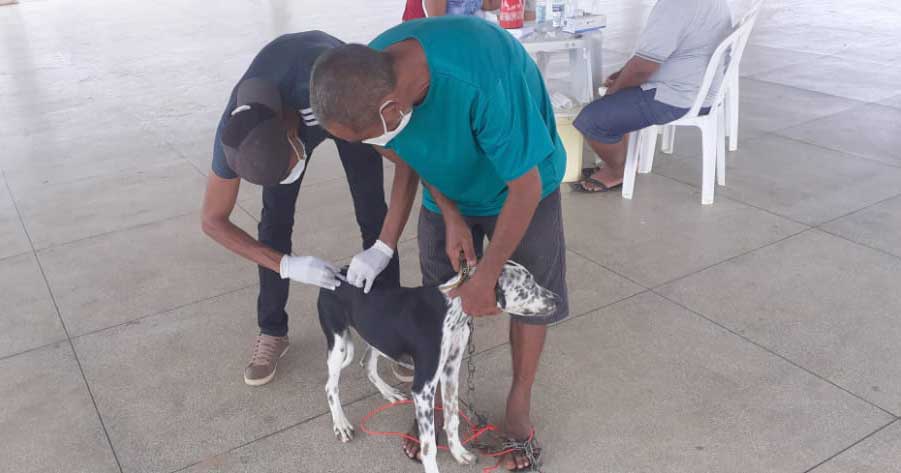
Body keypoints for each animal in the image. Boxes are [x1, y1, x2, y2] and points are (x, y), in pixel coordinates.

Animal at [314, 262, 556, 472]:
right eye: (527, 287)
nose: (558, 299)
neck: (453, 308)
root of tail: (335, 271)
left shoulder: (450, 369)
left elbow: (452, 418)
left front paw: (459, 453)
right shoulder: (423, 388)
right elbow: (429, 446)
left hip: (378, 334)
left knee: (367, 363)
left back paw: (388, 392)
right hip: (338, 344)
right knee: (330, 387)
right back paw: (341, 425)